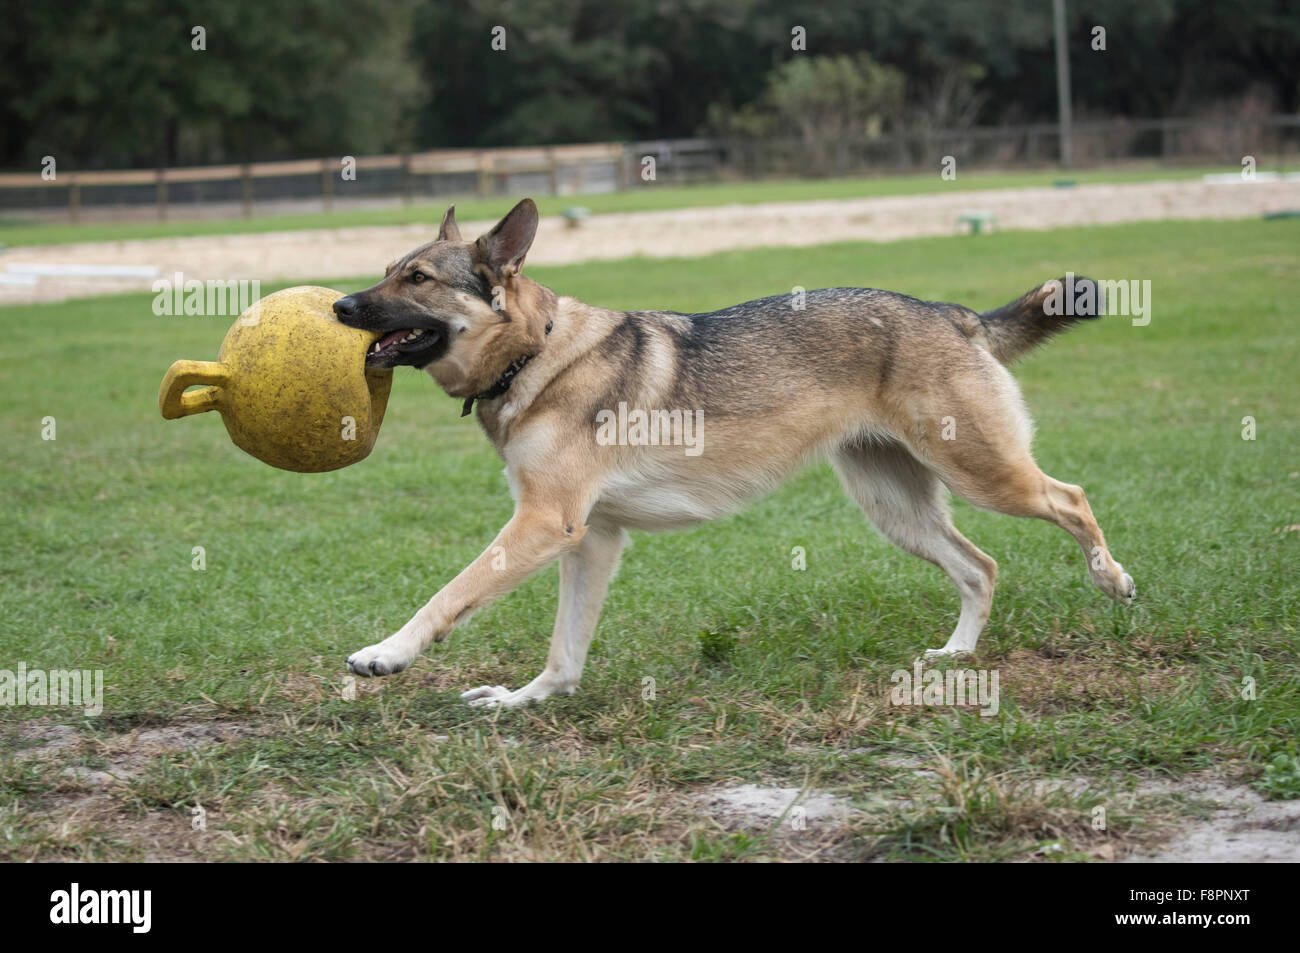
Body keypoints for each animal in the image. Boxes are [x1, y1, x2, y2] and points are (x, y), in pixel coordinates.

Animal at [330, 198, 1133, 707]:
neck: (537, 354)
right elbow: (565, 653)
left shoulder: (542, 524)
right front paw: (526, 700)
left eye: (417, 279)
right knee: (981, 568)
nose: (338, 306)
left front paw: (385, 654)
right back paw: (959, 655)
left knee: (1071, 500)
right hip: (898, 509)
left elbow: (448, 596)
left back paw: (1113, 578)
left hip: (985, 476)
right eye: (390, 268)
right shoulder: (590, 540)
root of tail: (954, 314)